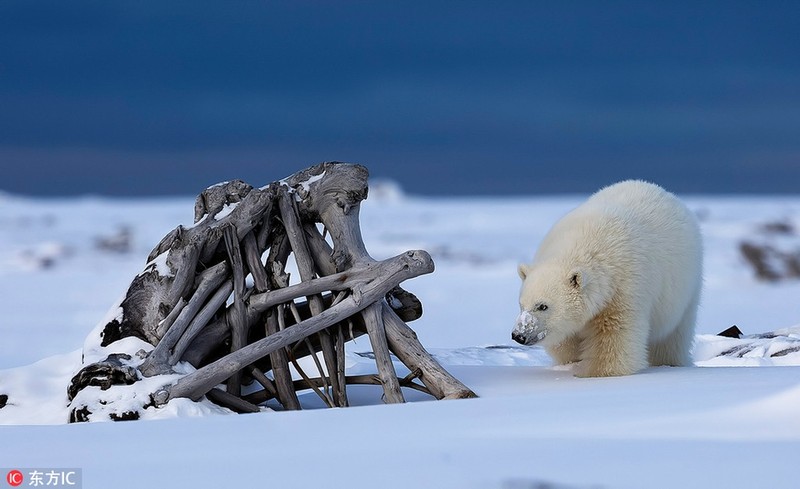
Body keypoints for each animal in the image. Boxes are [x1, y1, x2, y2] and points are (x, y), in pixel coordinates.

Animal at [512, 181, 700, 376]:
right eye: (521, 305)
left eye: (543, 306)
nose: (519, 335)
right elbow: (567, 340)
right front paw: (573, 361)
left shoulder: (623, 289)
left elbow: (614, 335)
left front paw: (596, 372)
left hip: (684, 287)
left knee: (672, 335)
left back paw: (669, 362)